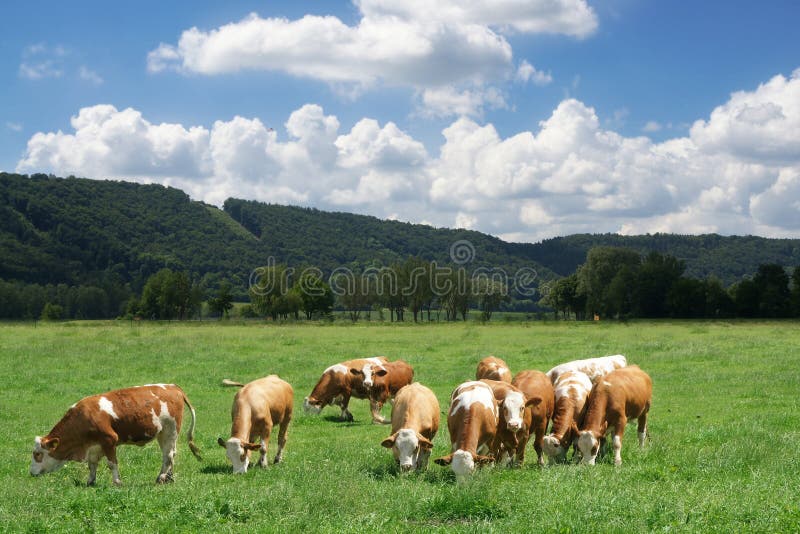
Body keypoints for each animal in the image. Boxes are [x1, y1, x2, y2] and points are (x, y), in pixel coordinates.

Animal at [30, 384, 201, 486]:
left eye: (38, 454)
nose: (31, 473)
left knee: (168, 456)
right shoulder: (94, 446)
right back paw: (169, 478)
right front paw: (90, 481)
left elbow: (112, 463)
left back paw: (160, 478)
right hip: (163, 433)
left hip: (170, 430)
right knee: (172, 454)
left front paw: (117, 482)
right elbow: (92, 464)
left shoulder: (109, 440)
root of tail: (173, 387)